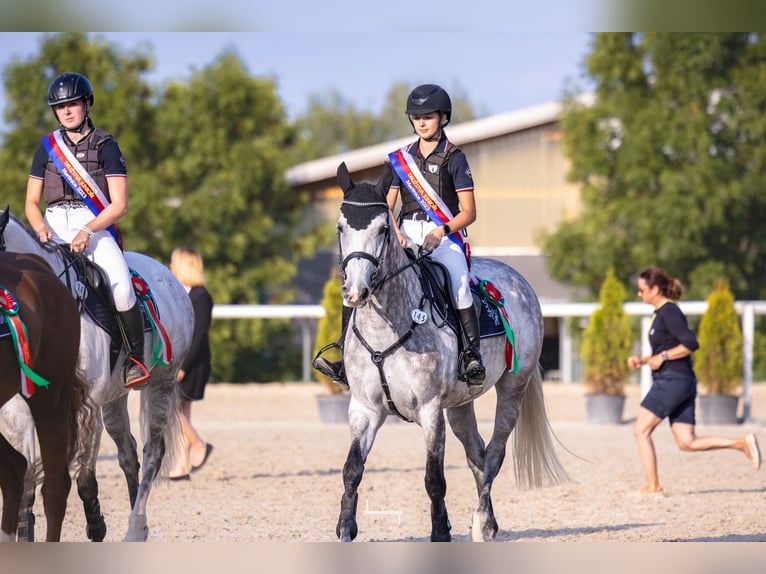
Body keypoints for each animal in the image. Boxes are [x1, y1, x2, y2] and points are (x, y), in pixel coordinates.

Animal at [332, 162, 568, 542]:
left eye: (383, 229)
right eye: (341, 227)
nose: (356, 291)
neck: (387, 328)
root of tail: (519, 281)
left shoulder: (430, 411)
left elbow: (434, 480)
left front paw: (440, 532)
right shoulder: (364, 409)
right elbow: (352, 469)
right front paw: (345, 529)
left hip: (512, 388)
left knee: (494, 453)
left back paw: (482, 523)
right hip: (460, 404)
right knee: (477, 454)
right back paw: (489, 521)